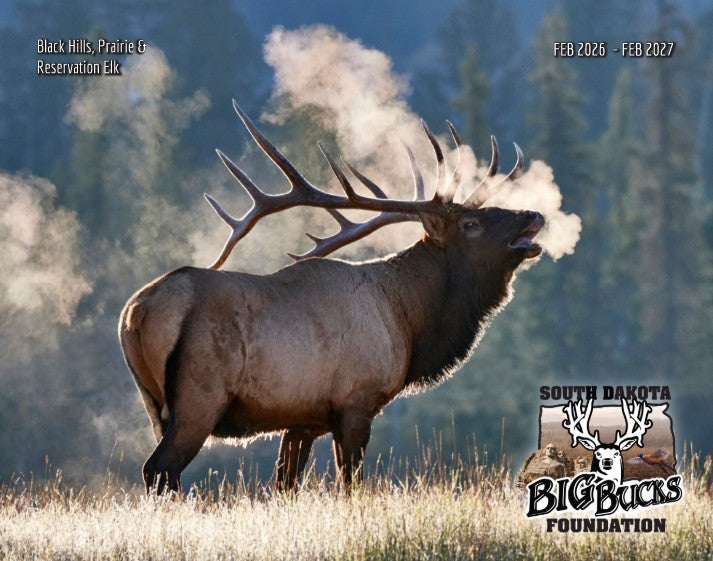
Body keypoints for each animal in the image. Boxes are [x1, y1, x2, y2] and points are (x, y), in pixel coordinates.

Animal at [118, 99, 547, 494]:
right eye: (471, 223)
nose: (534, 214)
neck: (408, 322)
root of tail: (135, 313)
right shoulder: (356, 401)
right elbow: (351, 484)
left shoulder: (303, 420)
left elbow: (285, 485)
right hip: (198, 398)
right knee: (159, 470)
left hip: (153, 405)